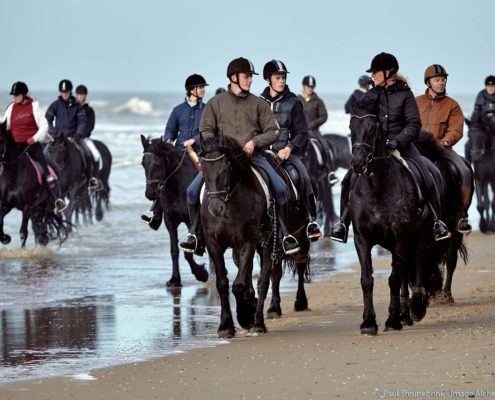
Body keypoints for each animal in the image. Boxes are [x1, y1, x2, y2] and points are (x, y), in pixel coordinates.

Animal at [140, 137, 208, 288]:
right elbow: (174, 250)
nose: (150, 194)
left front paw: (201, 274)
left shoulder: (190, 221)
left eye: (157, 163)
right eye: (143, 163)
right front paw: (175, 279)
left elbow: (188, 252)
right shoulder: (170, 221)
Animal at [201, 136, 310, 340]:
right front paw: (226, 326)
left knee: (275, 274)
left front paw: (245, 316)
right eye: (203, 168)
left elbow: (239, 284)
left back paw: (264, 320)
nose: (215, 208)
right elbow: (223, 283)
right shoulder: (214, 245)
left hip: (282, 240)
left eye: (225, 168)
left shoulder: (248, 242)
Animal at [350, 108, 444, 334]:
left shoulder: (399, 238)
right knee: (405, 270)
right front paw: (369, 322)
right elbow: (367, 280)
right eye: (351, 127)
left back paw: (416, 307)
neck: (377, 188)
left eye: (372, 129)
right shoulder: (361, 239)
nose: (357, 163)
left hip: (422, 237)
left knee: (417, 262)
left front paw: (392, 320)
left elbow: (393, 279)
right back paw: (405, 313)